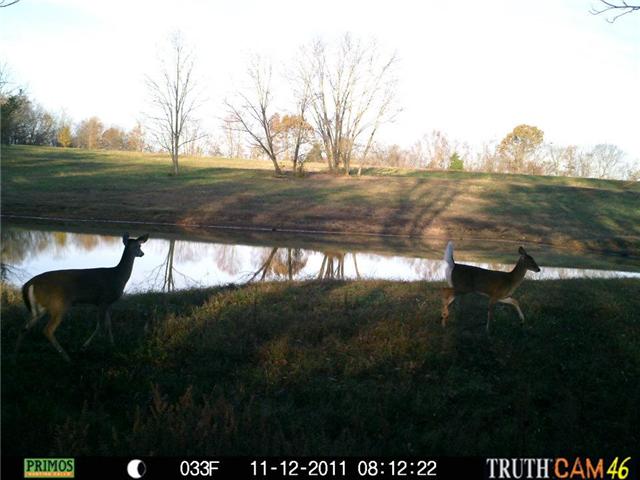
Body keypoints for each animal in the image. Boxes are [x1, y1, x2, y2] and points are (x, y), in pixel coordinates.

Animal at [14, 233, 149, 362]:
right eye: (139, 246)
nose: (142, 254)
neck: (118, 276)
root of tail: (29, 284)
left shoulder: (106, 303)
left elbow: (108, 324)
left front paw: (112, 344)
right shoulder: (103, 300)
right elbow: (100, 325)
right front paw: (85, 346)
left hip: (40, 308)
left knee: (24, 327)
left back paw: (17, 354)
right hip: (58, 304)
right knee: (47, 330)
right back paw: (67, 357)